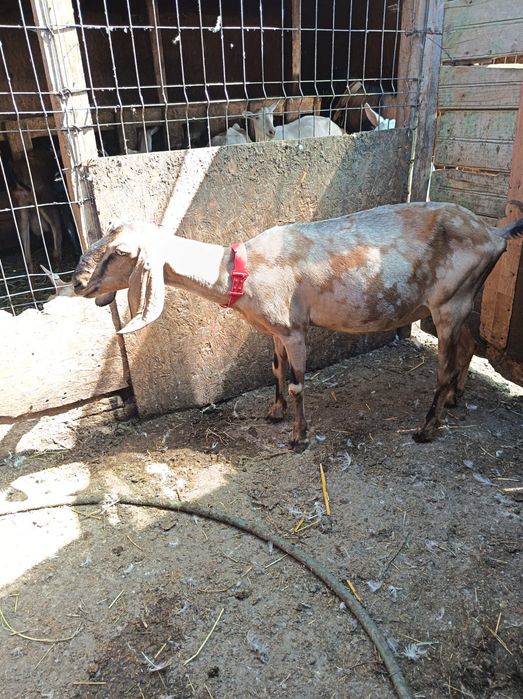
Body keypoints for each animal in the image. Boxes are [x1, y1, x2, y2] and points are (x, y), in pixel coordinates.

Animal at [72, 202, 523, 449]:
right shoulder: (275, 329)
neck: (240, 270)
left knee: (444, 367)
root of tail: (493, 232)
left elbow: (298, 382)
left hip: (449, 302)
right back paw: (455, 400)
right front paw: (274, 413)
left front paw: (298, 436)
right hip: (458, 301)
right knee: (469, 345)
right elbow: (276, 370)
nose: (76, 283)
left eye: (119, 253)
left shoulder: (294, 330)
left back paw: (427, 429)